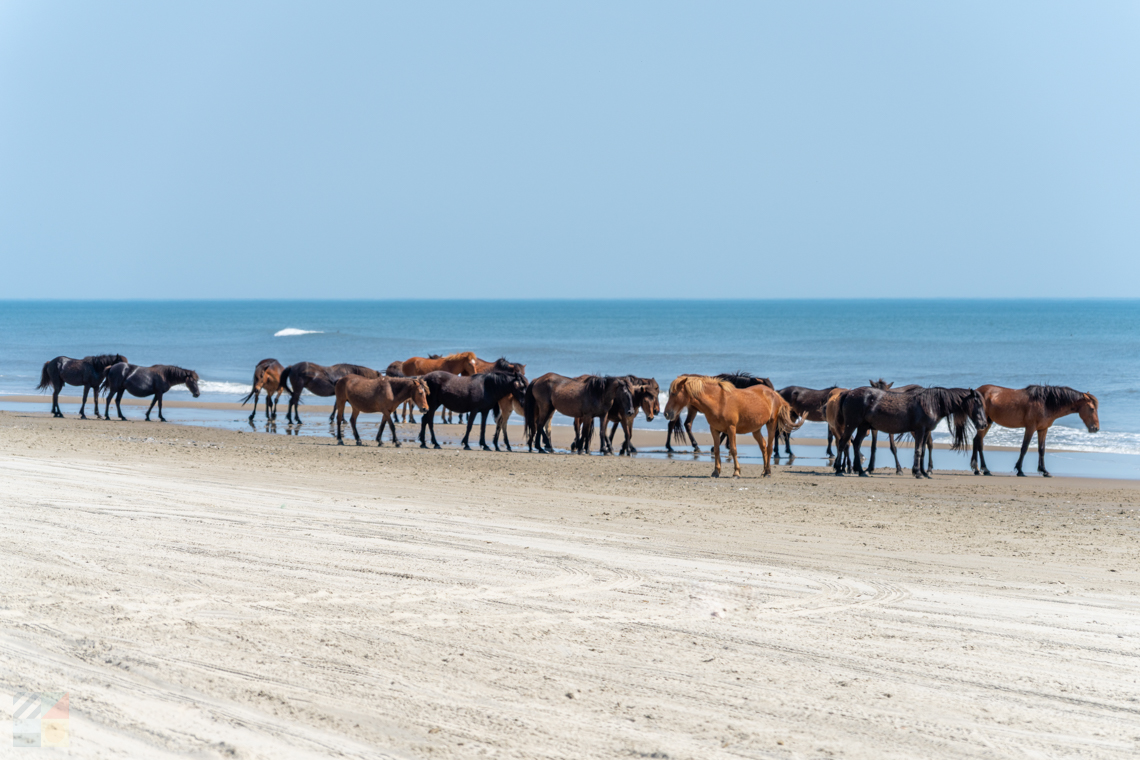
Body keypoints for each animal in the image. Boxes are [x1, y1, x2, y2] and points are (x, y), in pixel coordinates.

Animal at [663, 376, 802, 477]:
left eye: (674, 393)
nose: (666, 413)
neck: (719, 402)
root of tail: (774, 393)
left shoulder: (731, 428)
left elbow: (733, 449)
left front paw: (736, 472)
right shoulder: (714, 429)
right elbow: (717, 450)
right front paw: (716, 472)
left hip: (771, 424)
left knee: (769, 447)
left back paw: (768, 472)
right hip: (756, 429)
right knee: (763, 446)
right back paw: (763, 471)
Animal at [833, 386, 987, 478]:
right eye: (978, 403)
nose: (984, 424)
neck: (932, 404)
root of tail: (849, 393)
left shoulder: (925, 432)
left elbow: (923, 451)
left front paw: (924, 472)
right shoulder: (920, 430)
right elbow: (918, 450)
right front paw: (918, 472)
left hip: (863, 426)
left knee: (856, 444)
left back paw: (860, 471)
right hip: (852, 424)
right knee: (842, 443)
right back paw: (839, 470)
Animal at [971, 385, 1099, 477]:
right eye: (1092, 409)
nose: (1096, 428)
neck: (1046, 403)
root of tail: (976, 392)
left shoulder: (1043, 429)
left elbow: (1041, 449)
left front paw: (1044, 471)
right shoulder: (1030, 428)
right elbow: (1024, 447)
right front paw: (1020, 470)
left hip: (987, 423)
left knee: (977, 441)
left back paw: (979, 469)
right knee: (979, 442)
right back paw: (983, 469)